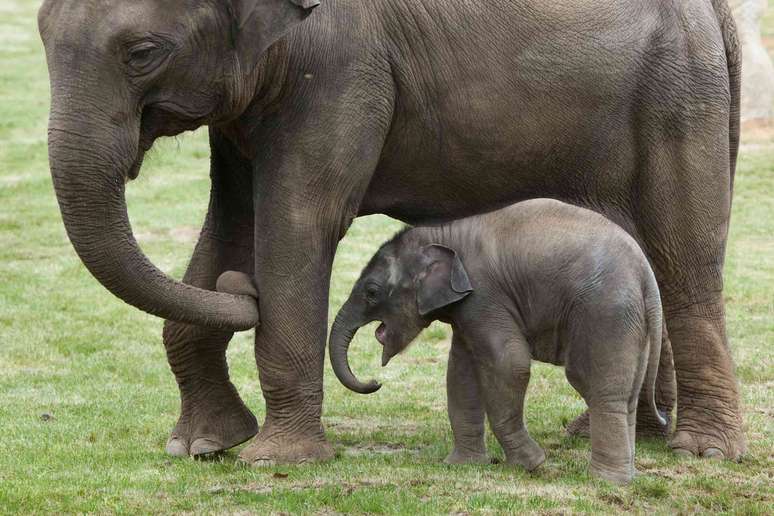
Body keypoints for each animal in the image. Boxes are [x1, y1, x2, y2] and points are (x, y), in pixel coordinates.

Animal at [328, 199, 666, 484]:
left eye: (372, 292)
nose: (375, 381)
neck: (442, 233)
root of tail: (646, 274)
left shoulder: (484, 295)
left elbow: (509, 364)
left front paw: (532, 465)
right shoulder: (468, 307)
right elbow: (461, 373)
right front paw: (462, 465)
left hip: (605, 311)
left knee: (597, 386)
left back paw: (605, 481)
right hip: (632, 323)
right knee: (628, 394)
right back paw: (624, 476)